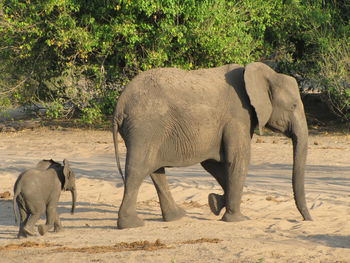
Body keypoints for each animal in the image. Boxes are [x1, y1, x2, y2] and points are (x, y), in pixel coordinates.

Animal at [112, 62, 312, 229]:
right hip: (145, 127)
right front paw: (236, 219)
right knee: (138, 169)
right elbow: (237, 161)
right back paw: (132, 225)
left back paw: (176, 217)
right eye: (294, 105)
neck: (264, 74)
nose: (307, 220)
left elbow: (214, 164)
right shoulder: (238, 116)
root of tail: (120, 104)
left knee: (155, 169)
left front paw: (215, 203)